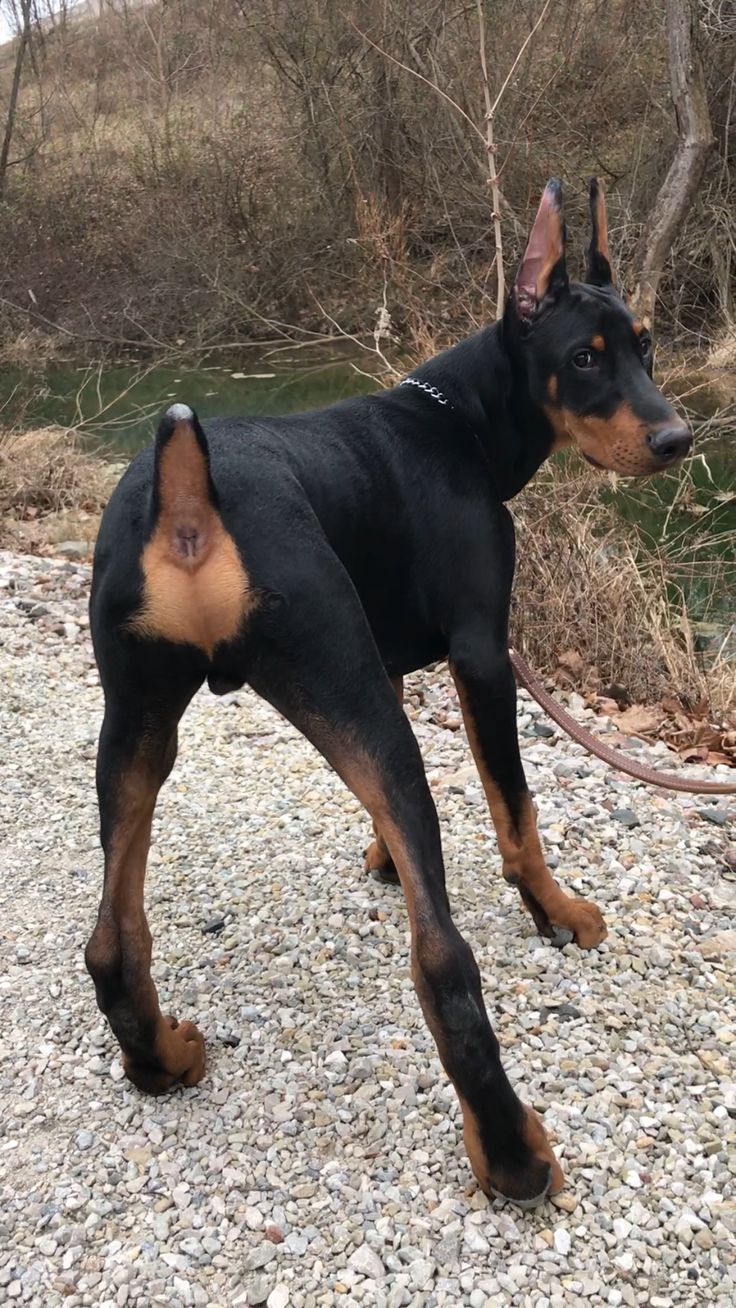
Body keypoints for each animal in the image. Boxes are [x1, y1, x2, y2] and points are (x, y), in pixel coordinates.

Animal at [84, 181, 690, 1203]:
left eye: (645, 346)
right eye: (584, 358)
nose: (678, 438)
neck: (458, 424)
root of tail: (189, 497)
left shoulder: (384, 673)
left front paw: (380, 856)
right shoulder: (483, 656)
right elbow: (515, 811)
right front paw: (555, 912)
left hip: (136, 726)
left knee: (111, 943)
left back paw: (160, 1058)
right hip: (318, 686)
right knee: (442, 960)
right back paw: (513, 1152)